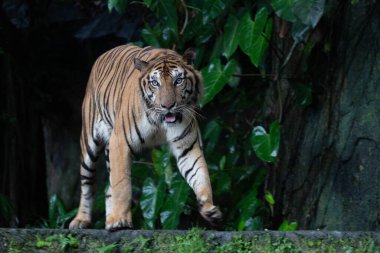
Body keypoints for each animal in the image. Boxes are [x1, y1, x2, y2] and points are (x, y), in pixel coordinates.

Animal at [70, 44, 221, 230]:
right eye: (155, 83)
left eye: (178, 80)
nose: (168, 106)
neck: (160, 122)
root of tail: (103, 55)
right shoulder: (120, 142)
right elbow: (122, 185)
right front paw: (121, 220)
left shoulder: (187, 146)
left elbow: (200, 175)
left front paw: (209, 208)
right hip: (89, 144)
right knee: (87, 186)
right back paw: (81, 220)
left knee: (107, 190)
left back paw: (109, 220)